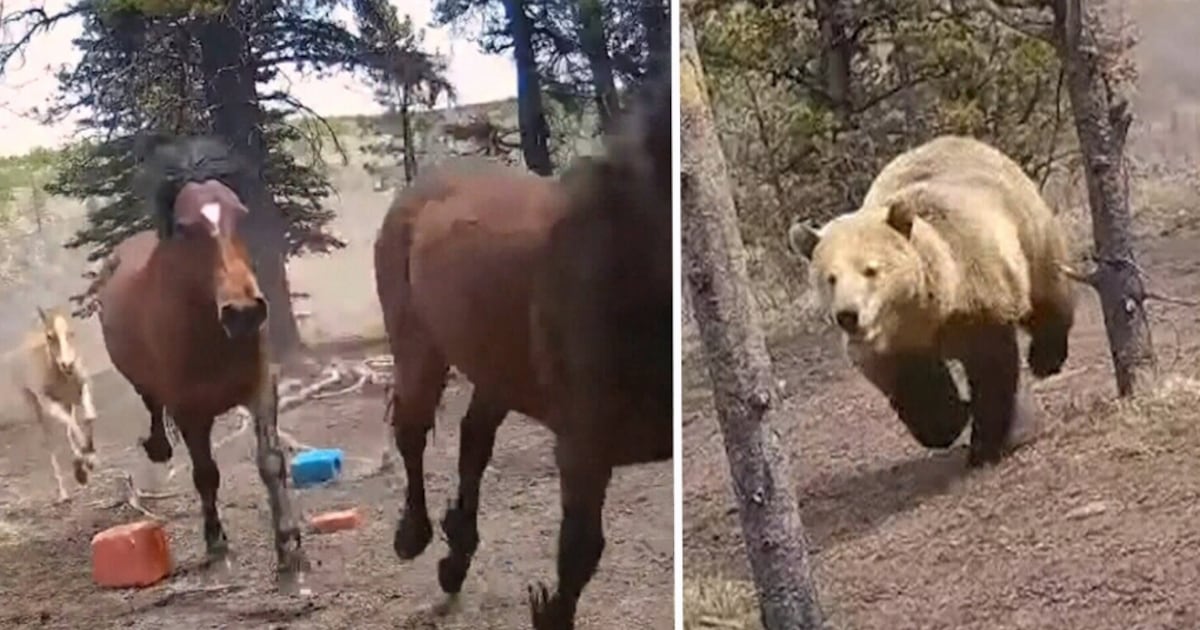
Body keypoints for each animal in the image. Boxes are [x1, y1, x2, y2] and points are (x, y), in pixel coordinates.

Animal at [6, 306, 98, 503]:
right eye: (50, 336)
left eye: (71, 332)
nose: (67, 364)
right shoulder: (49, 403)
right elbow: (73, 427)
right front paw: (86, 462)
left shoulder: (83, 389)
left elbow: (88, 418)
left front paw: (88, 460)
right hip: (37, 407)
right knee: (49, 440)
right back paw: (64, 492)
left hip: (67, 403)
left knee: (68, 429)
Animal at [92, 135, 308, 587]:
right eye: (186, 227)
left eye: (241, 215)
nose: (243, 312)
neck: (211, 338)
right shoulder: (190, 411)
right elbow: (206, 474)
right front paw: (218, 549)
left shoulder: (260, 389)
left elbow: (271, 462)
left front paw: (290, 552)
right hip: (143, 381)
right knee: (151, 403)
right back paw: (157, 447)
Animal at [372, 73, 672, 629]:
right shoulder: (582, 448)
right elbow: (579, 551)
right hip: (421, 351)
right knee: (412, 432)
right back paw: (414, 536)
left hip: (496, 367)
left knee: (473, 440)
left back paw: (455, 557)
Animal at [787, 135, 1076, 466]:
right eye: (830, 278)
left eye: (870, 270)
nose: (848, 315)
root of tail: (958, 140)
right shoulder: (895, 344)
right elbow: (915, 386)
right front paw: (951, 419)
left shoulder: (975, 293)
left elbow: (990, 369)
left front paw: (984, 445)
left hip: (1025, 224)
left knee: (1046, 288)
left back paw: (1046, 356)